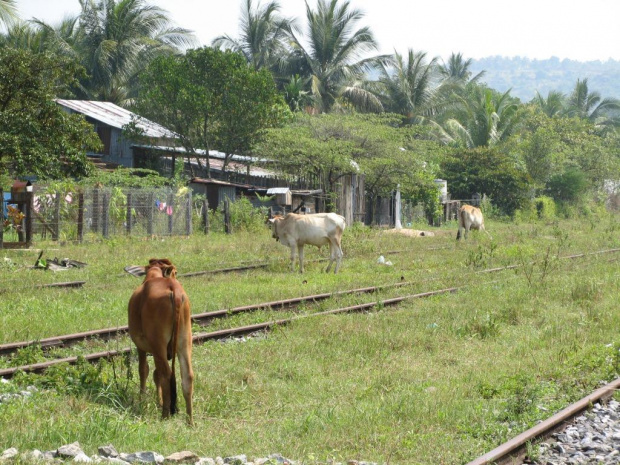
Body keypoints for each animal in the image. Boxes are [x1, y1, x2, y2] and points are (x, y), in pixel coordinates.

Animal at [127, 258, 193, 424]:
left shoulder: (141, 346)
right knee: (187, 376)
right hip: (184, 341)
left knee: (166, 375)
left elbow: (144, 370)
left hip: (159, 344)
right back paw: (190, 421)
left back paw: (165, 415)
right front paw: (159, 401)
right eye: (176, 272)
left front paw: (143, 399)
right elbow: (155, 374)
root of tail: (173, 289)